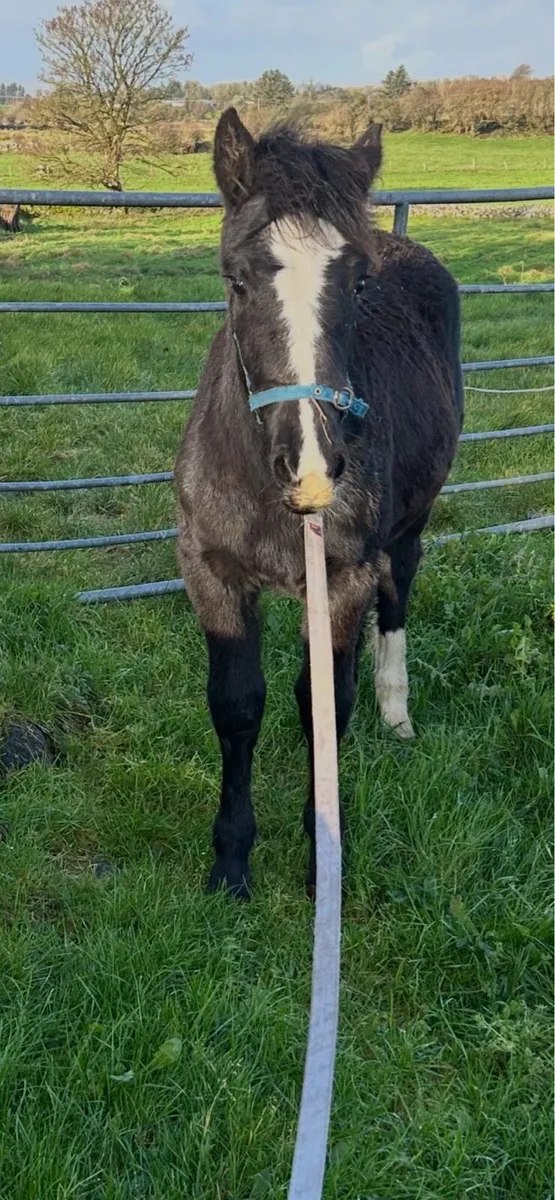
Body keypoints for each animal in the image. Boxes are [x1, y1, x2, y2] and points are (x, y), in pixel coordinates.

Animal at [174, 108, 463, 898]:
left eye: (359, 285)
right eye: (236, 281)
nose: (310, 469)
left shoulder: (340, 579)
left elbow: (324, 706)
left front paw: (320, 860)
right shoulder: (210, 574)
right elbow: (237, 705)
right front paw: (230, 863)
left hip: (407, 530)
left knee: (396, 598)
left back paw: (395, 717)